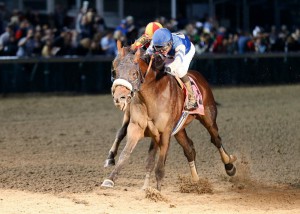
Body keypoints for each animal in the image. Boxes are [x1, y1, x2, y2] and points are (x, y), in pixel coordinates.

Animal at [102, 44, 237, 191]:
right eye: (114, 72)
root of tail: (198, 76)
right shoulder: (136, 128)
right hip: (179, 130)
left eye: (134, 73)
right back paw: (196, 181)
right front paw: (110, 179)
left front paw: (157, 191)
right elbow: (126, 154)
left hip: (208, 118)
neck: (152, 96)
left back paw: (229, 166)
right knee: (189, 149)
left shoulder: (165, 133)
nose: (119, 98)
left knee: (216, 139)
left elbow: (160, 165)